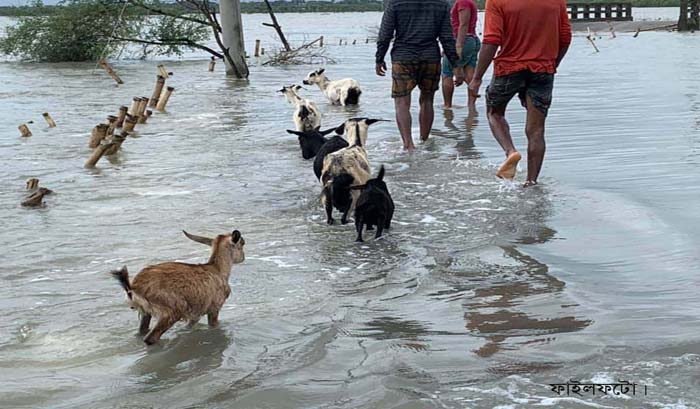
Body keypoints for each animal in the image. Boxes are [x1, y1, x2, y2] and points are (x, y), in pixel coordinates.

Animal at [111, 230, 246, 344]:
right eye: (242, 243)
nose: (243, 257)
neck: (218, 269)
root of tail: (132, 287)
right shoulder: (214, 307)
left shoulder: (195, 313)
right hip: (172, 310)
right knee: (151, 337)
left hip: (146, 312)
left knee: (142, 331)